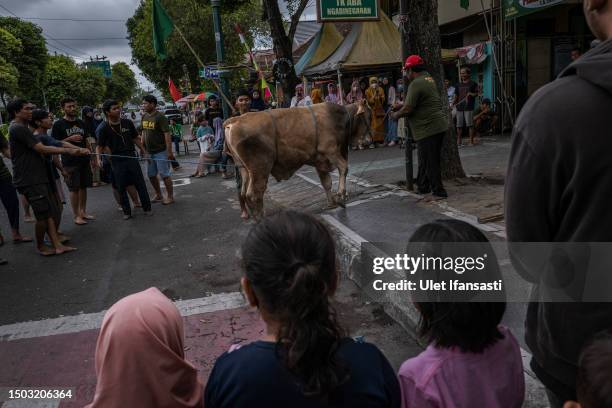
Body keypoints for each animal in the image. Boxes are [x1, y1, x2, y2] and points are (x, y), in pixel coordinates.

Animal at [225, 100, 372, 218]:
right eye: (368, 116)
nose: (369, 140)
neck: (338, 118)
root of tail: (233, 121)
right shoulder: (331, 151)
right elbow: (343, 167)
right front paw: (340, 196)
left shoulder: (320, 160)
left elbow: (327, 183)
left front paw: (332, 203)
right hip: (260, 170)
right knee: (254, 194)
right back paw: (261, 217)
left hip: (244, 169)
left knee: (244, 192)